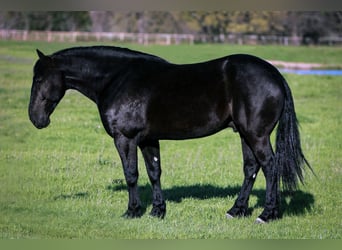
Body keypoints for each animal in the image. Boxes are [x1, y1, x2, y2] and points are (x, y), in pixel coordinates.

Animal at [30, 46, 312, 224]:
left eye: (40, 79)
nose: (35, 118)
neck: (118, 78)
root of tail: (274, 74)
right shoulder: (147, 140)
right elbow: (154, 173)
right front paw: (157, 211)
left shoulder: (125, 138)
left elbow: (131, 174)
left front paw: (133, 212)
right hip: (245, 134)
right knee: (251, 168)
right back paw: (236, 210)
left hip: (257, 135)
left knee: (270, 167)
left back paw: (267, 214)